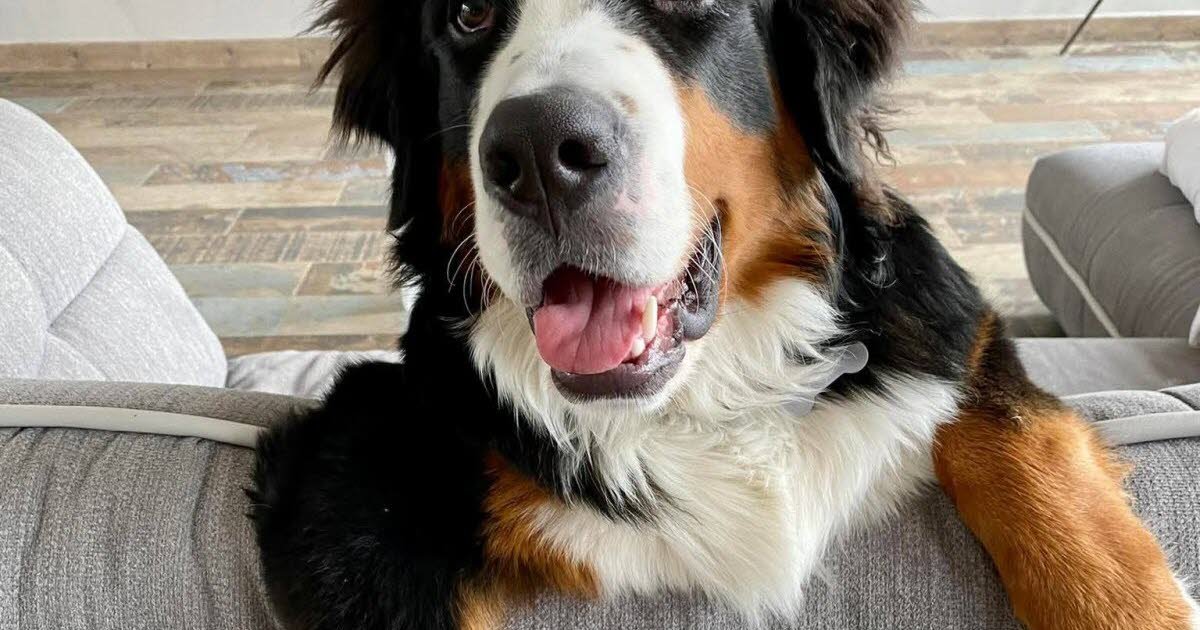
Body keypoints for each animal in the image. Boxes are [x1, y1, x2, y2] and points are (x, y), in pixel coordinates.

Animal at [250, 0, 1200, 628]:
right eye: (471, 12)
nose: (539, 152)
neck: (707, 390)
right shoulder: (351, 470)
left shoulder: (944, 324)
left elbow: (1022, 447)